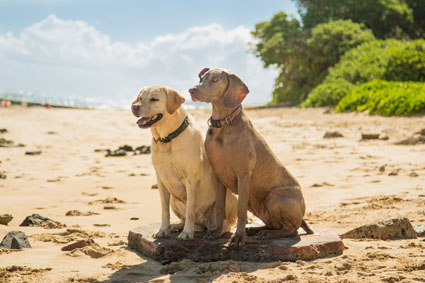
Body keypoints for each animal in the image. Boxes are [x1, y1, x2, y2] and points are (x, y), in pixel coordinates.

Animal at [131, 86, 237, 240]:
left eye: (154, 99)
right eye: (140, 98)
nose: (134, 107)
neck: (167, 139)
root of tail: (204, 222)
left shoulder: (191, 180)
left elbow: (190, 211)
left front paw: (187, 233)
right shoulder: (161, 180)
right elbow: (164, 210)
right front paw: (163, 230)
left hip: (229, 198)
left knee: (226, 223)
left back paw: (214, 231)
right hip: (174, 200)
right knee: (189, 220)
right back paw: (176, 226)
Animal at [189, 68, 312, 246]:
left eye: (215, 80)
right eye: (201, 78)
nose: (192, 90)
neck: (224, 124)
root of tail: (302, 216)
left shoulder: (244, 174)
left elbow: (240, 211)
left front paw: (239, 237)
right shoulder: (218, 175)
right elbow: (219, 207)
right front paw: (215, 232)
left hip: (275, 197)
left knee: (292, 230)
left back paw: (266, 234)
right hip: (256, 204)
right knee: (275, 224)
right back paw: (256, 230)